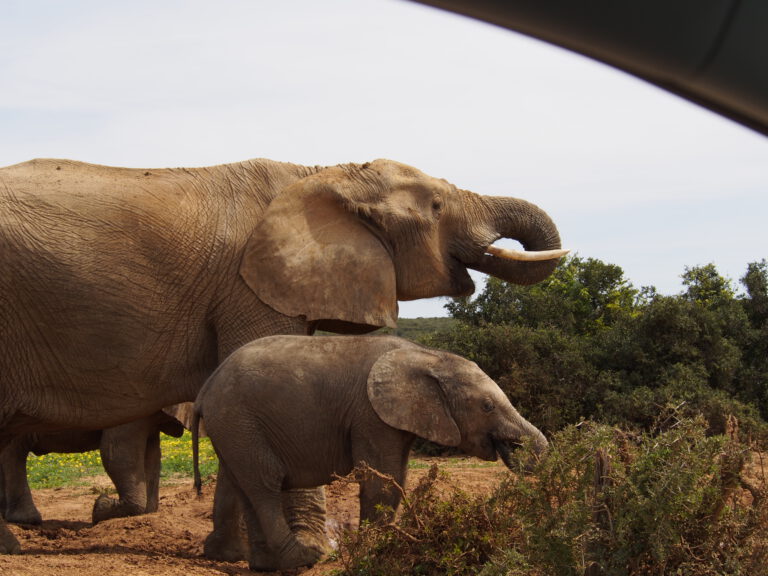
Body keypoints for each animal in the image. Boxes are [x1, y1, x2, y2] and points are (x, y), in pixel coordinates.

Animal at [195, 336, 548, 568]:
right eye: (487, 406)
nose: (514, 450)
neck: (427, 356)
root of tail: (205, 388)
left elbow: (397, 477)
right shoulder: (370, 414)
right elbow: (382, 480)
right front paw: (378, 551)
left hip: (233, 429)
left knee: (246, 486)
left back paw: (268, 565)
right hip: (238, 421)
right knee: (265, 482)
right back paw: (304, 559)